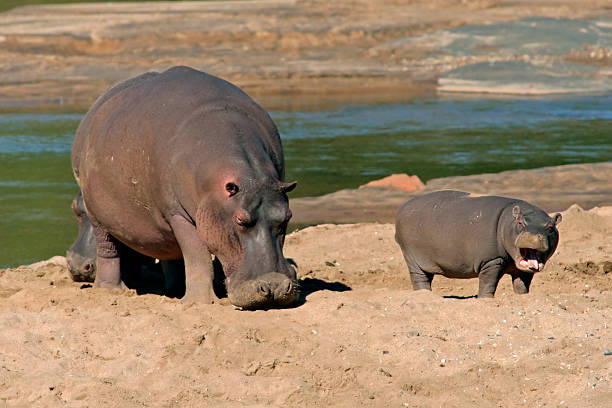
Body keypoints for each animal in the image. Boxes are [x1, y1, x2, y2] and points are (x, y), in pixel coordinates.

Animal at [71, 66, 298, 310]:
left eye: (287, 217)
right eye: (240, 220)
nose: (274, 287)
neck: (250, 179)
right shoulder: (179, 214)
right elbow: (197, 256)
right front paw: (201, 302)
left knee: (171, 254)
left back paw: (175, 291)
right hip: (99, 215)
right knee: (108, 249)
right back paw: (113, 290)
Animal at [394, 190, 560, 298]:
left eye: (550, 227)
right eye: (520, 223)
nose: (533, 235)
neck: (508, 221)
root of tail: (403, 206)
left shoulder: (524, 270)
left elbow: (521, 285)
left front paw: (522, 297)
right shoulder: (491, 260)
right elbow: (488, 282)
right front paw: (485, 299)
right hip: (412, 258)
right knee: (419, 278)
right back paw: (423, 295)